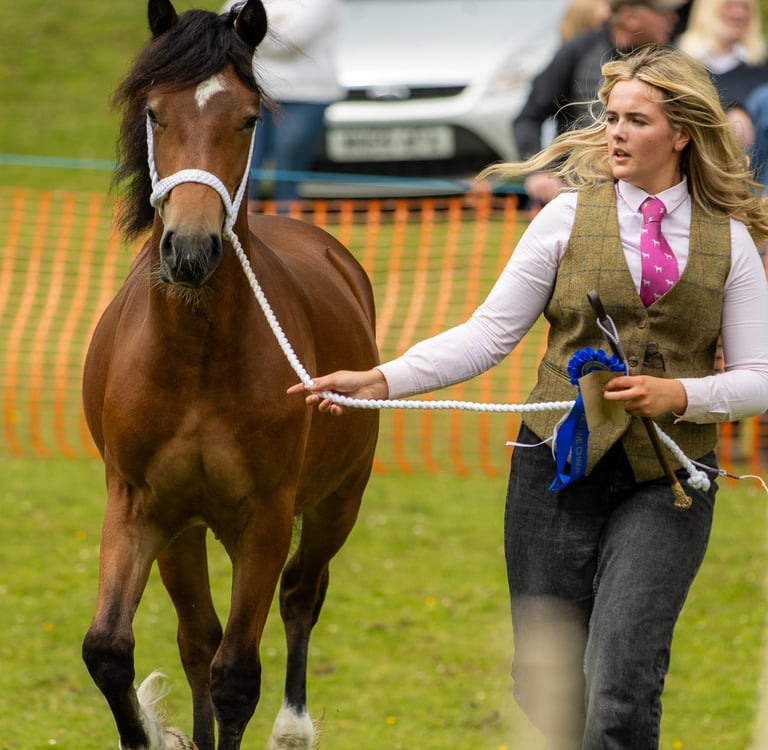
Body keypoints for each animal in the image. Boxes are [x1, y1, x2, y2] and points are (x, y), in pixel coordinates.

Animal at [81, 2, 379, 749]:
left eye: (247, 119)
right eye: (155, 113)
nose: (190, 250)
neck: (196, 360)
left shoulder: (265, 518)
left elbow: (237, 676)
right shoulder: (140, 507)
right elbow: (112, 651)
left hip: (337, 503)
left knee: (300, 597)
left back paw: (294, 727)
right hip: (186, 532)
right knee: (197, 640)